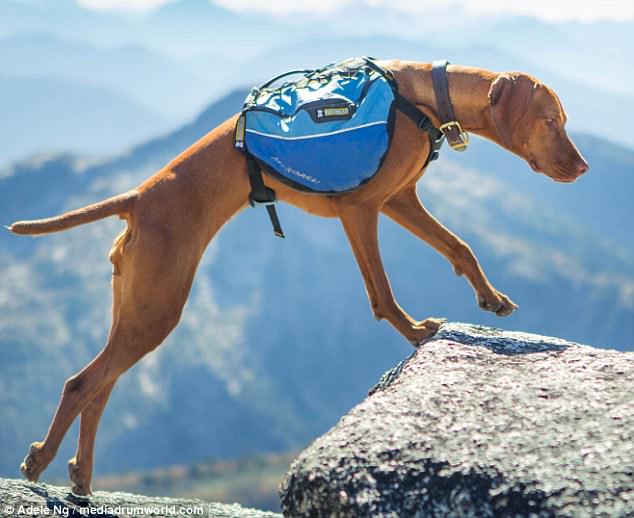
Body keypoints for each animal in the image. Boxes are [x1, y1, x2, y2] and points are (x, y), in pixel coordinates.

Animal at [8, 60, 588, 496]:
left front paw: (491, 298)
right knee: (81, 383)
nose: (582, 169)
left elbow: (460, 247)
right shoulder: (362, 209)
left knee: (99, 389)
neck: (419, 99)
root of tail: (138, 198)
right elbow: (382, 293)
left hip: (137, 307)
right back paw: (39, 462)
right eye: (551, 120)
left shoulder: (400, 200)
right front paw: (417, 333)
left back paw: (81, 476)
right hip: (159, 309)